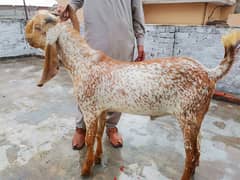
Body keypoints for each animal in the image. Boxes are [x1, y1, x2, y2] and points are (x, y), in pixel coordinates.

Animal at [25, 4, 240, 179]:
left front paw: (86, 170)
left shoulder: (89, 111)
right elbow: (98, 136)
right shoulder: (101, 109)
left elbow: (89, 140)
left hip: (187, 119)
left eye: (36, 26)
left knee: (191, 155)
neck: (82, 62)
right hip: (197, 119)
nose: (26, 36)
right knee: (198, 148)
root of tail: (209, 72)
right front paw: (98, 158)